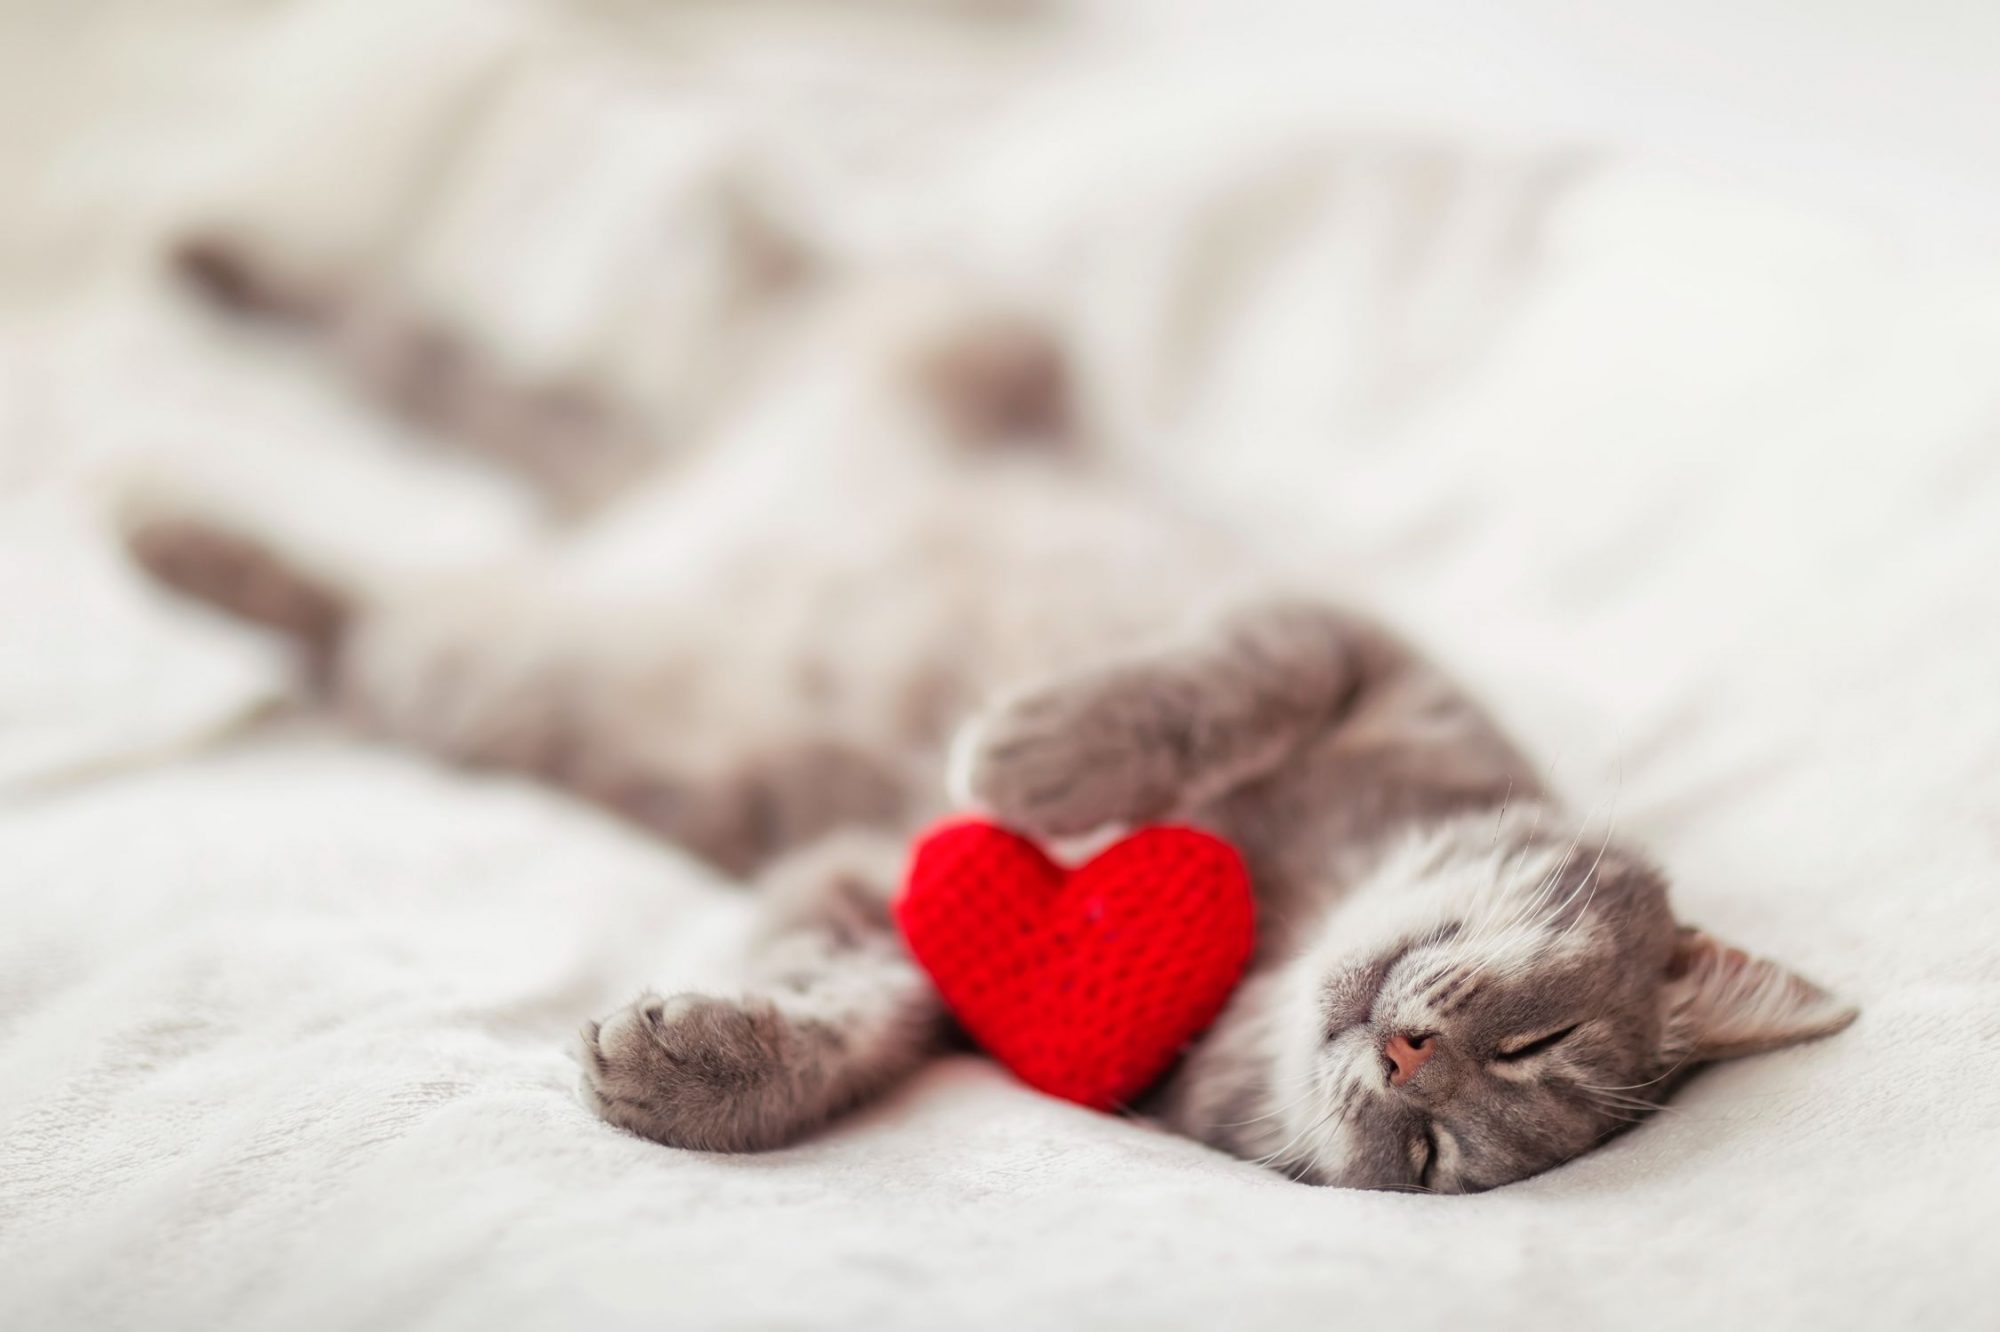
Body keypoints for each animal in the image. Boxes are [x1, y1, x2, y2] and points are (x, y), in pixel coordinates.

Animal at [129, 233, 1856, 1184]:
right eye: (1532, 1030)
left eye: (1440, 1147)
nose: (1411, 1052)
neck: (1278, 922)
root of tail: (644, 505)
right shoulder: (1341, 636)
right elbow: (1216, 677)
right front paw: (1040, 748)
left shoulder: (892, 896)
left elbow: (861, 1014)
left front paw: (706, 1071)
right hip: (929, 329)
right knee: (590, 336)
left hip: (468, 666)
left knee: (365, 579)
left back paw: (183, 538)